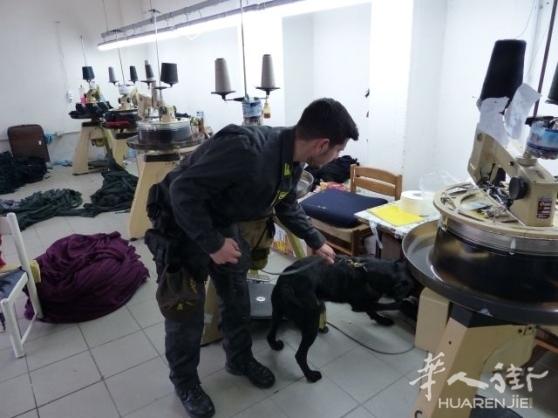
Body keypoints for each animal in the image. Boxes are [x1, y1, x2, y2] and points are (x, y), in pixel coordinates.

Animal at [266, 255, 415, 383]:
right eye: (410, 290)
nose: (412, 296)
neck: (370, 272)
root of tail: (286, 285)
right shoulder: (360, 305)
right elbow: (390, 305)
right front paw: (408, 306)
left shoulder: (365, 303)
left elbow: (373, 312)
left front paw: (383, 320)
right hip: (312, 320)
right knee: (300, 355)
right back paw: (311, 375)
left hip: (277, 313)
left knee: (270, 334)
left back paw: (275, 345)